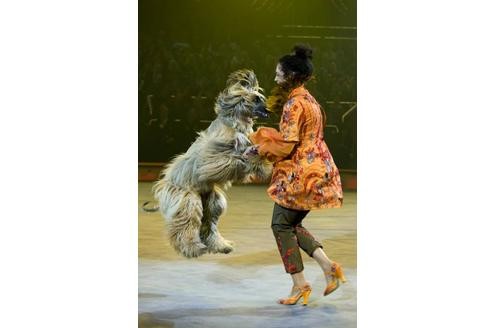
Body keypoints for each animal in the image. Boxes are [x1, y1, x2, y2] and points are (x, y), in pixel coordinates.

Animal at [153, 70, 274, 258]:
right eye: (256, 99)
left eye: (261, 97)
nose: (268, 110)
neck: (235, 124)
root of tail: (164, 184)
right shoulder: (212, 159)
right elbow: (234, 158)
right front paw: (251, 159)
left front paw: (262, 164)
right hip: (187, 198)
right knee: (186, 224)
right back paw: (191, 248)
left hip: (211, 202)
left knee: (209, 224)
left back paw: (220, 245)